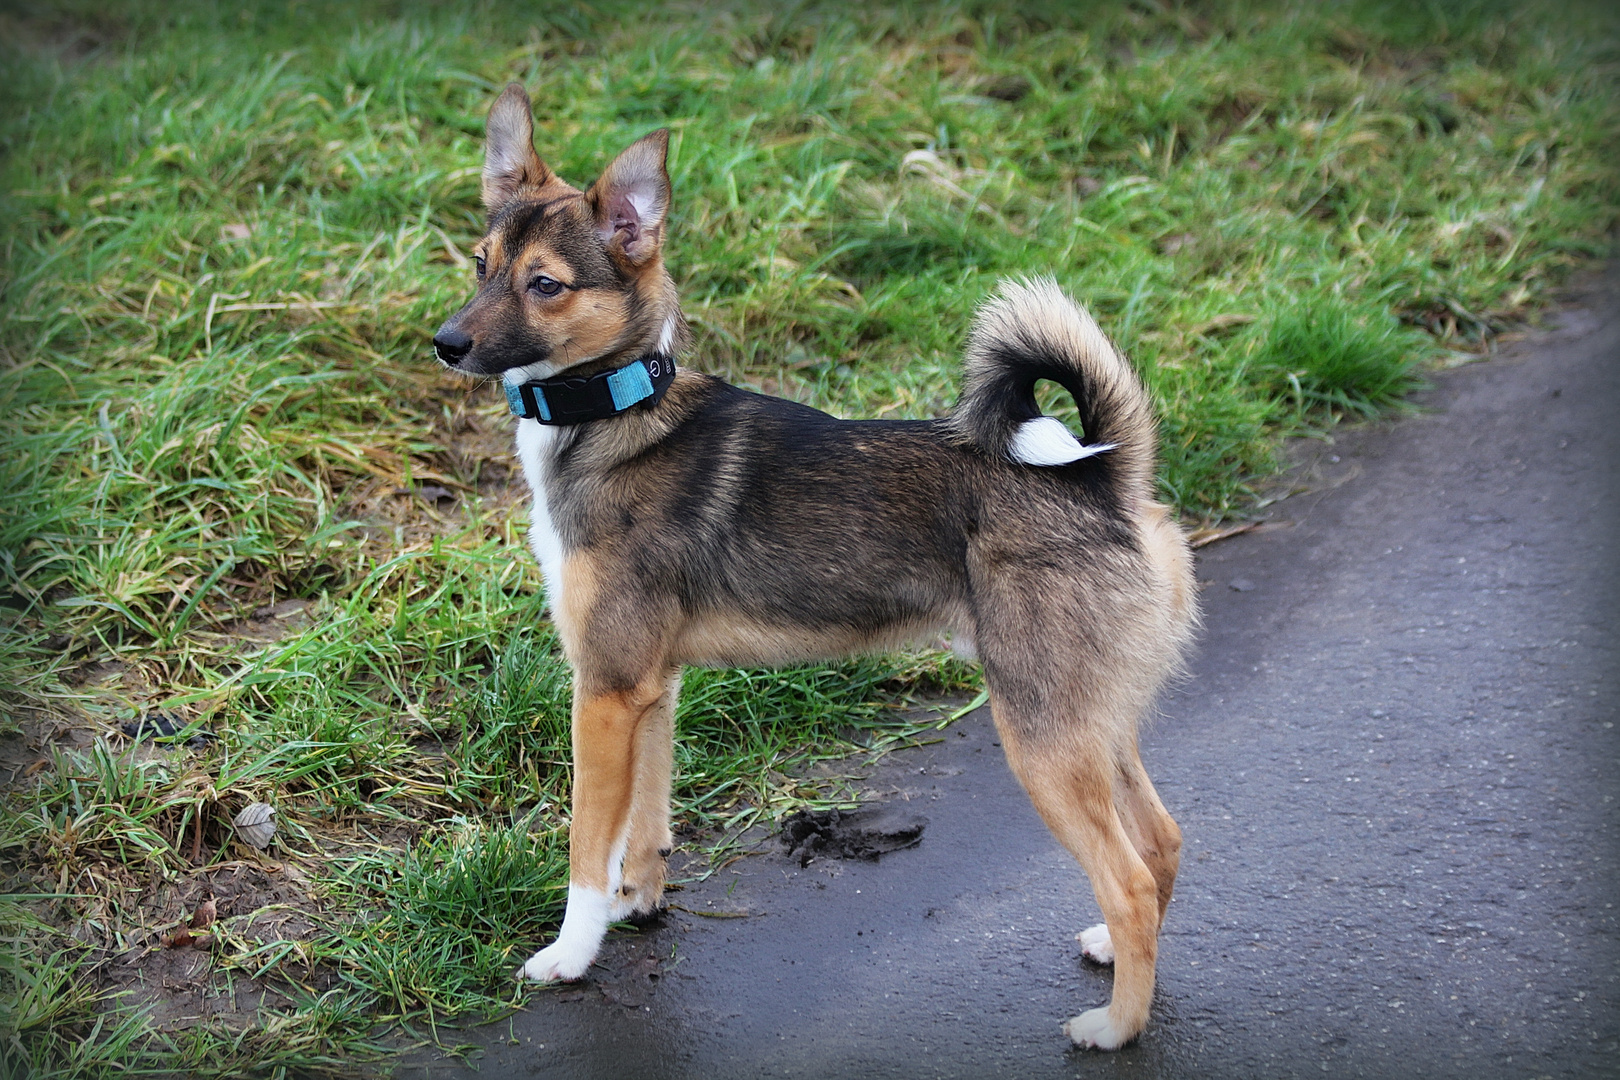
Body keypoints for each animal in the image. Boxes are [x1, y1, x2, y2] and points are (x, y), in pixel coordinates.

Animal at [437, 86, 1198, 1055]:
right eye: (482, 263)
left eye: (544, 284)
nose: (446, 343)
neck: (616, 410)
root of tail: (1107, 478)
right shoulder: (651, 690)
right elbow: (644, 821)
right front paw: (636, 903)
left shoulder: (603, 693)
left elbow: (584, 844)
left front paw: (572, 952)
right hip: (1091, 720)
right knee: (1161, 842)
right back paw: (1115, 955)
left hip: (1043, 734)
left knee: (1130, 875)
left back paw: (1115, 1026)